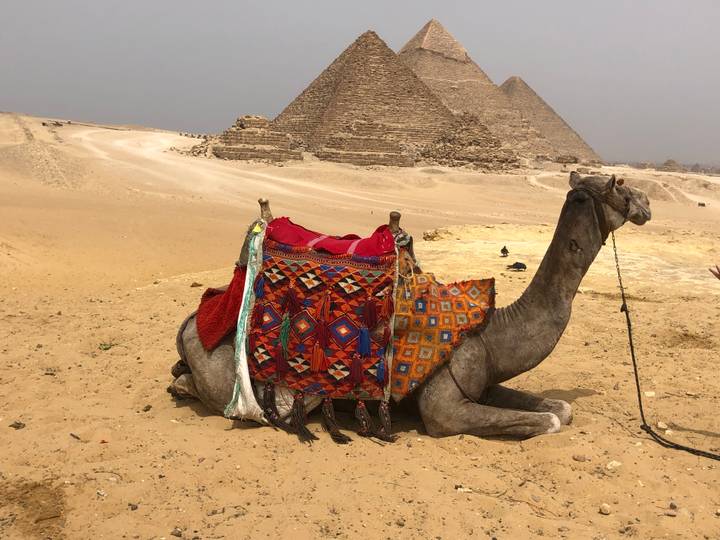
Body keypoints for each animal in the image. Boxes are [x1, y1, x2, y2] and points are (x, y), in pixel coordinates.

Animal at [169, 172, 651, 439]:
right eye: (621, 186)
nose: (648, 206)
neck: (491, 332)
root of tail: (192, 321)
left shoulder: (481, 382)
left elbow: (560, 409)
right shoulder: (444, 409)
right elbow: (550, 421)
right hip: (247, 383)